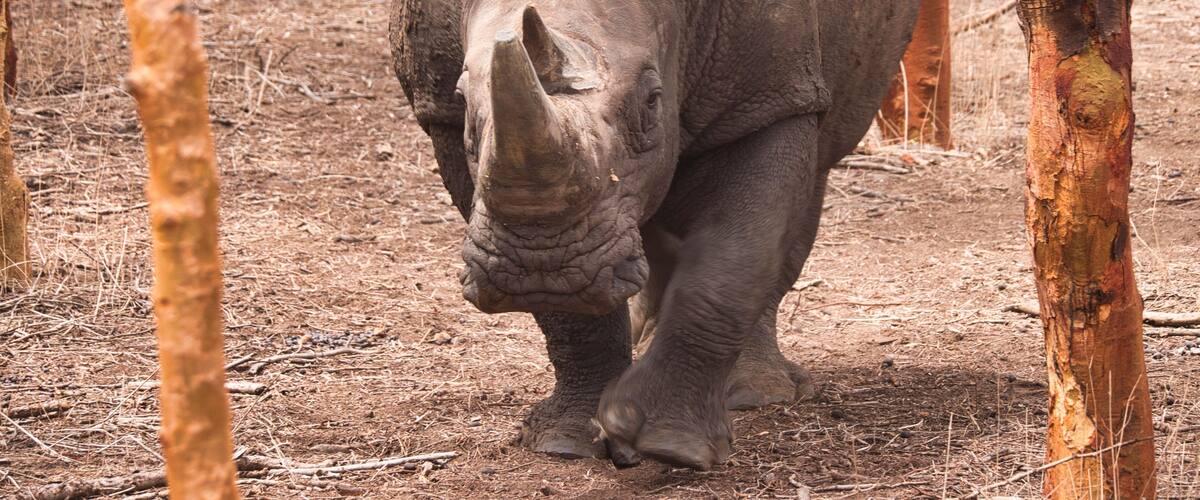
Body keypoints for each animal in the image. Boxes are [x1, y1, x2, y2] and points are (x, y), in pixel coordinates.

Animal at [390, 0, 920, 469]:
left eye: (652, 102)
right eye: (463, 101)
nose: (542, 265)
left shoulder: (769, 98)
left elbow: (733, 264)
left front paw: (670, 444)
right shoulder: (439, 112)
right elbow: (569, 314)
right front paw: (566, 443)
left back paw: (756, 394)